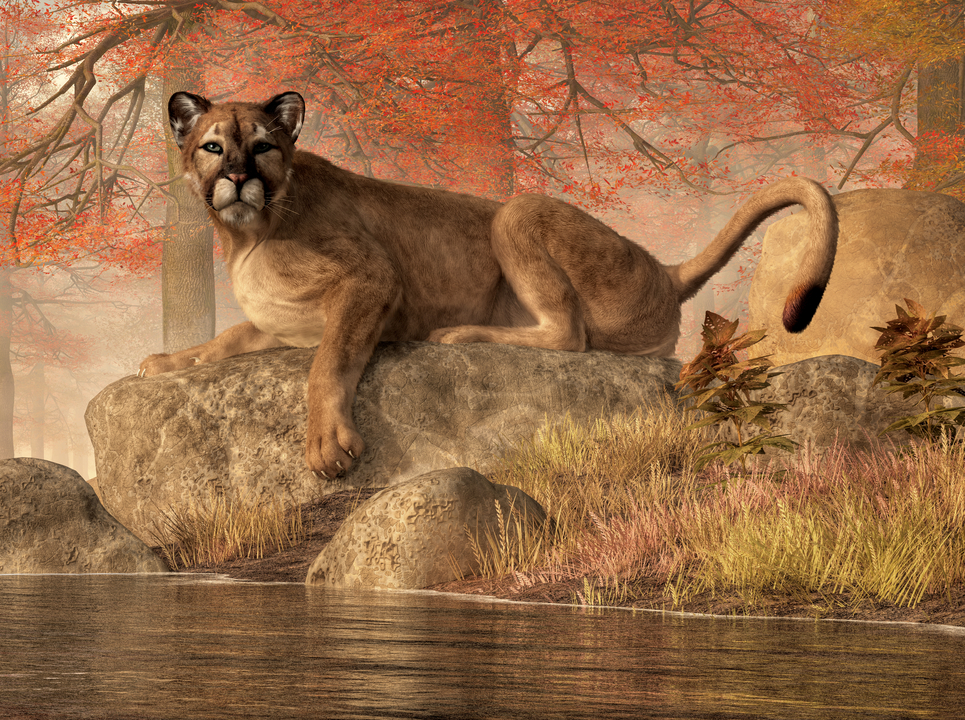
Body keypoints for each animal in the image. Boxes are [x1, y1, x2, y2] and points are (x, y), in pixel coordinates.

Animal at [139, 90, 838, 479]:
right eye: (212, 147)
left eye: (261, 147)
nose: (236, 177)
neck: (247, 238)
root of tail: (662, 268)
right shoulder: (279, 323)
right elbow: (227, 339)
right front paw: (169, 360)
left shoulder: (371, 279)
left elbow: (329, 364)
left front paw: (327, 443)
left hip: (517, 212)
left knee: (568, 336)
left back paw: (460, 334)